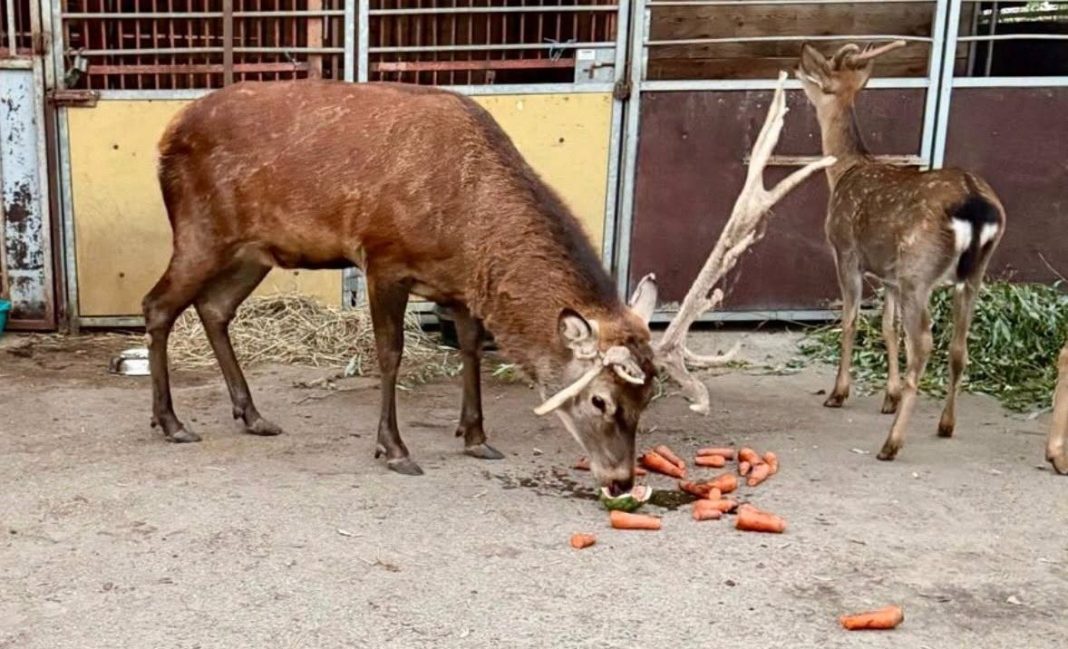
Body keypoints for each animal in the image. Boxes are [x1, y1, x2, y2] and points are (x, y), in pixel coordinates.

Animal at [145, 80, 659, 497]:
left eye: (649, 394)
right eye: (600, 399)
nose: (620, 480)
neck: (469, 234)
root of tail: (167, 133)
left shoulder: (459, 285)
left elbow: (470, 348)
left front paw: (475, 436)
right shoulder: (383, 259)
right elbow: (391, 353)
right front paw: (394, 448)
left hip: (253, 251)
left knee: (214, 307)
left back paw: (251, 415)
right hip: (199, 230)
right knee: (158, 305)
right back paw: (171, 422)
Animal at [796, 41, 1007, 461]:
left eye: (822, 80)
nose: (798, 64)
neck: (844, 172)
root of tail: (976, 204)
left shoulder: (846, 252)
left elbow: (851, 321)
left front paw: (839, 392)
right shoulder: (889, 274)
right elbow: (888, 328)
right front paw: (889, 396)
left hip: (918, 270)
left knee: (924, 343)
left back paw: (891, 443)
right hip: (973, 273)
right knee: (958, 346)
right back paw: (945, 424)